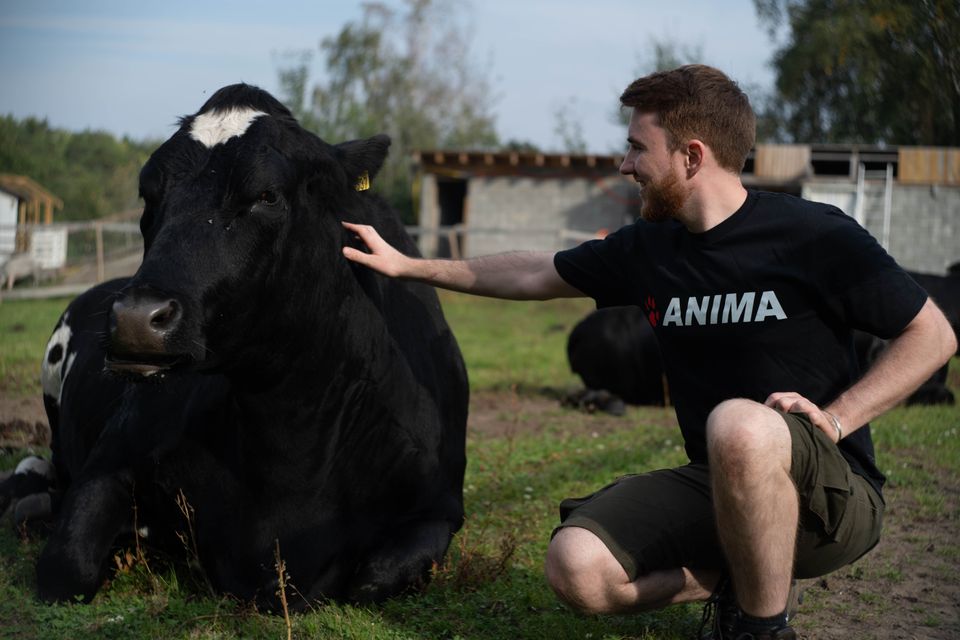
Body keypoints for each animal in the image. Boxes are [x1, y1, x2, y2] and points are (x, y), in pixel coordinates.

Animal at [23, 82, 472, 608]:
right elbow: (66, 567)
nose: (135, 317)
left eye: (266, 195)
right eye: (148, 193)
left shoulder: (439, 506)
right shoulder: (114, 452)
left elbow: (373, 578)